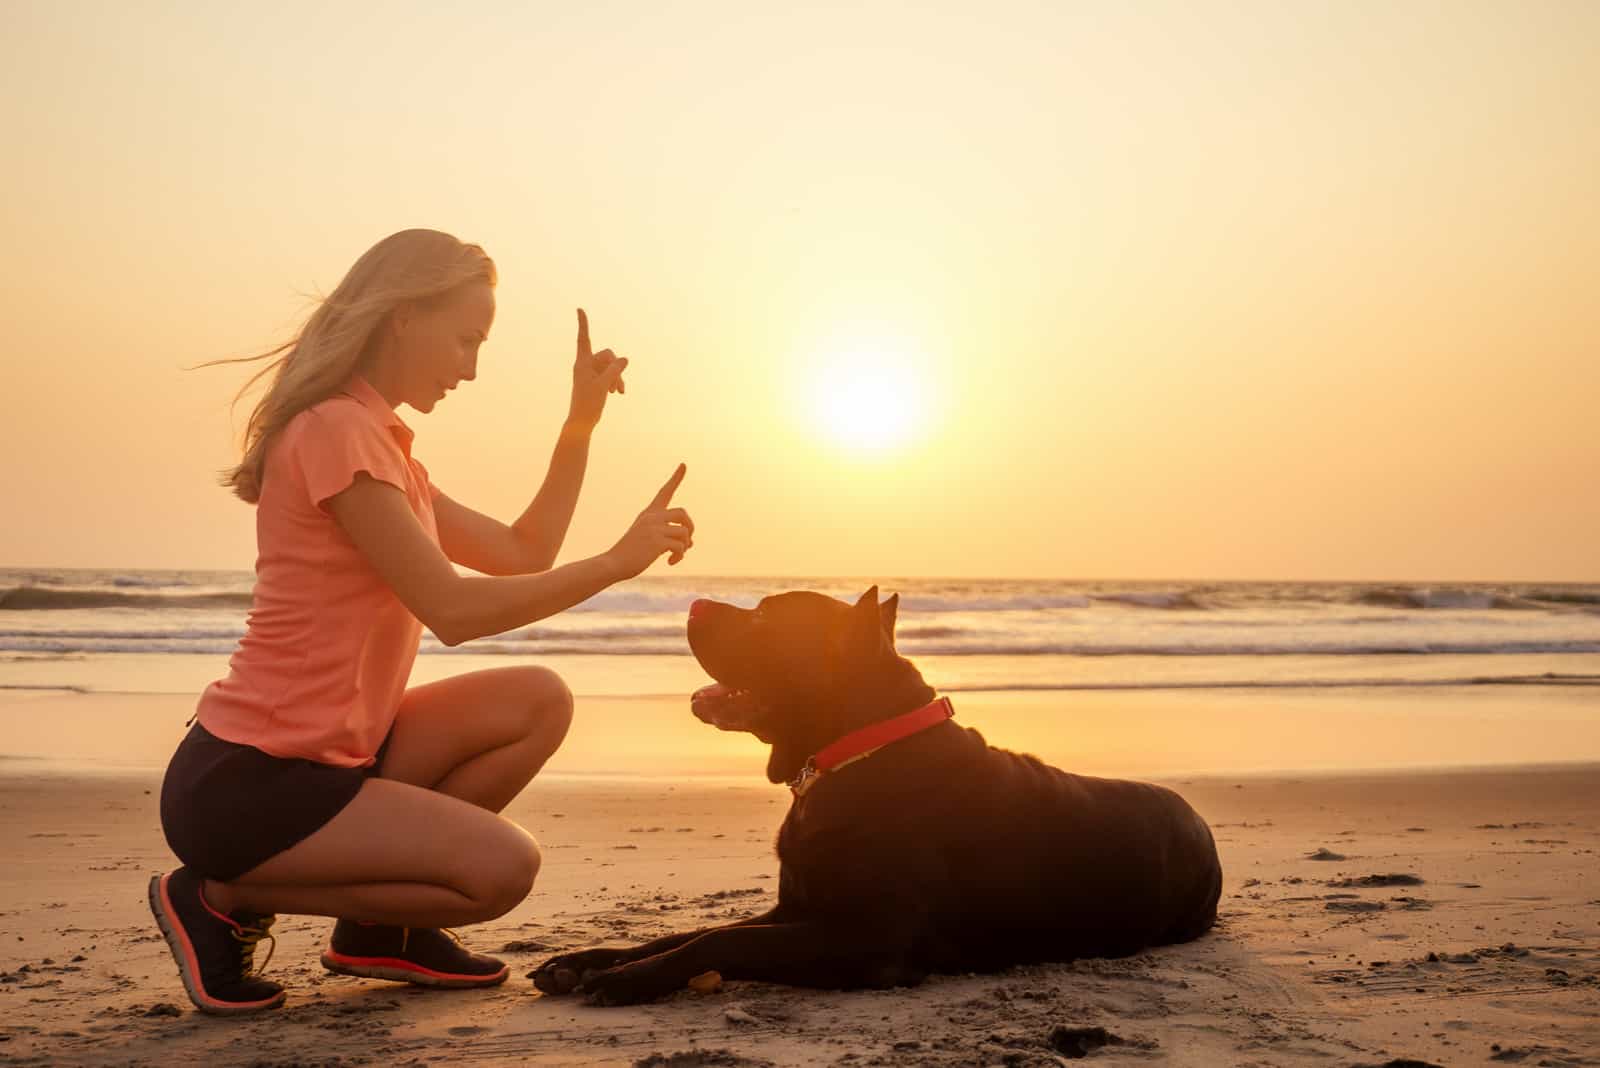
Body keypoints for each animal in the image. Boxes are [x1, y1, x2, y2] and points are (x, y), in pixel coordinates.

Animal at [531, 588, 1216, 1004]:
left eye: (765, 617)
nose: (696, 600)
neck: (848, 756)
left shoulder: (863, 937)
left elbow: (719, 941)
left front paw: (628, 979)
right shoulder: (795, 908)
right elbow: (693, 931)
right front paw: (591, 961)